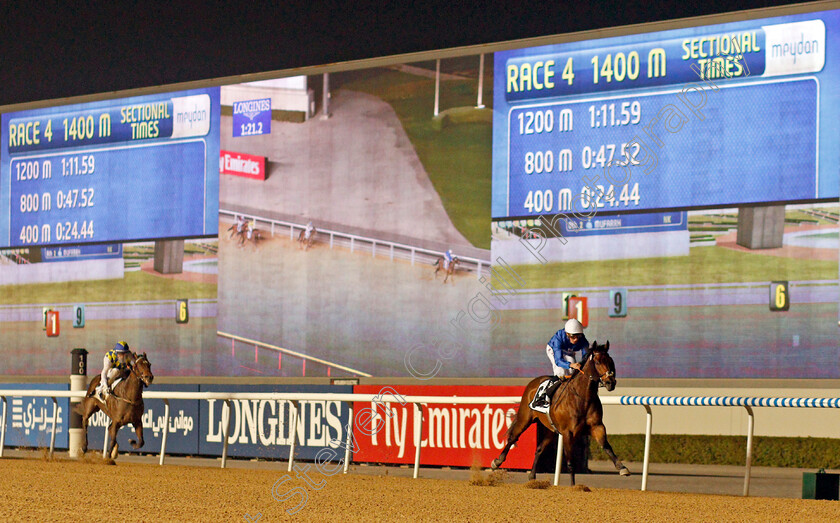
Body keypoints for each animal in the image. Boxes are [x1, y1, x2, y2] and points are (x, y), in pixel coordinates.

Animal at [486, 344, 632, 488]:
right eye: (597, 362)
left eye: (611, 361)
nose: (610, 382)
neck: (583, 397)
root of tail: (533, 382)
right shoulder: (568, 433)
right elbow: (570, 462)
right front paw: (573, 487)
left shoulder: (597, 426)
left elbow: (606, 446)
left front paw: (622, 468)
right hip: (525, 418)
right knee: (513, 437)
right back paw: (497, 462)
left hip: (551, 430)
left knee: (539, 449)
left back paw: (532, 476)